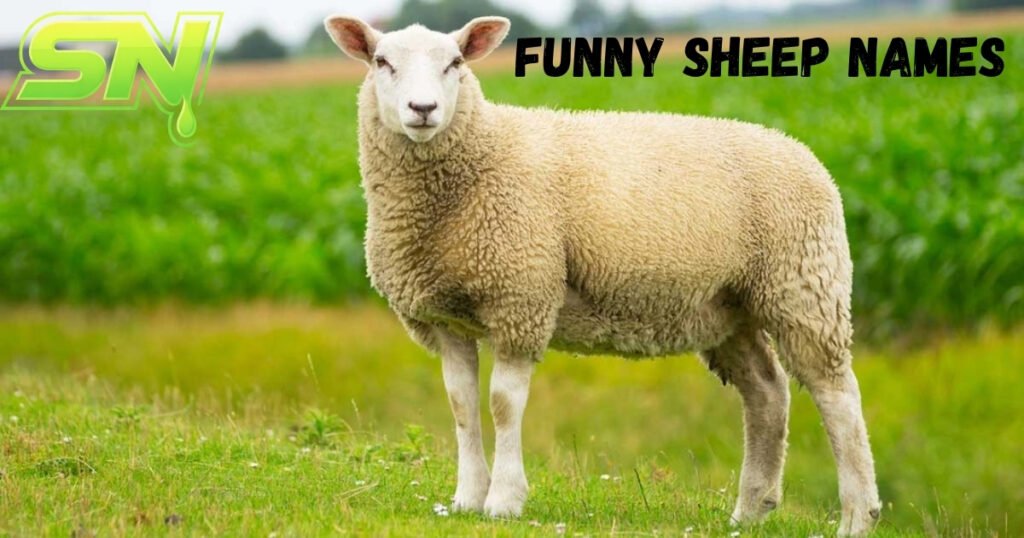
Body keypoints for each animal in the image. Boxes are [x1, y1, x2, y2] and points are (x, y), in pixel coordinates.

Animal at [324, 15, 882, 536]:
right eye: (382, 63)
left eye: (455, 63)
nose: (423, 110)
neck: (478, 159)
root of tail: (804, 154)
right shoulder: (447, 318)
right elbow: (461, 404)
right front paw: (466, 499)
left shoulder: (521, 296)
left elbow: (503, 404)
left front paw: (504, 501)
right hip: (730, 307)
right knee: (767, 392)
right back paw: (750, 510)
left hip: (803, 286)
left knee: (838, 396)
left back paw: (857, 515)